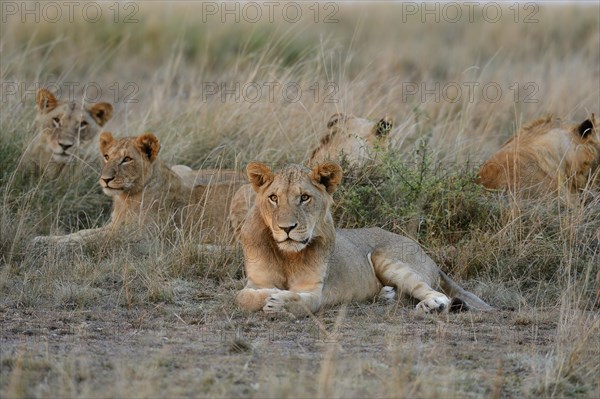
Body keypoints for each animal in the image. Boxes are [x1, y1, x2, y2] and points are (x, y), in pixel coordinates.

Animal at [32, 131, 244, 250]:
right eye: (107, 156)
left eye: (127, 159)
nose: (105, 180)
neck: (125, 198)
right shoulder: (115, 225)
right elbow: (82, 233)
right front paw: (44, 239)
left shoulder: (141, 236)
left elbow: (94, 239)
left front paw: (55, 244)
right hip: (184, 168)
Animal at [236, 162, 492, 316]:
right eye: (273, 198)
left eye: (305, 197)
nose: (287, 228)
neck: (287, 255)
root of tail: (429, 257)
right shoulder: (255, 283)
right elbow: (243, 297)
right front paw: (272, 294)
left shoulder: (315, 291)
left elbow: (304, 301)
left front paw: (280, 301)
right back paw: (386, 295)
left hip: (386, 258)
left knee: (438, 294)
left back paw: (429, 306)